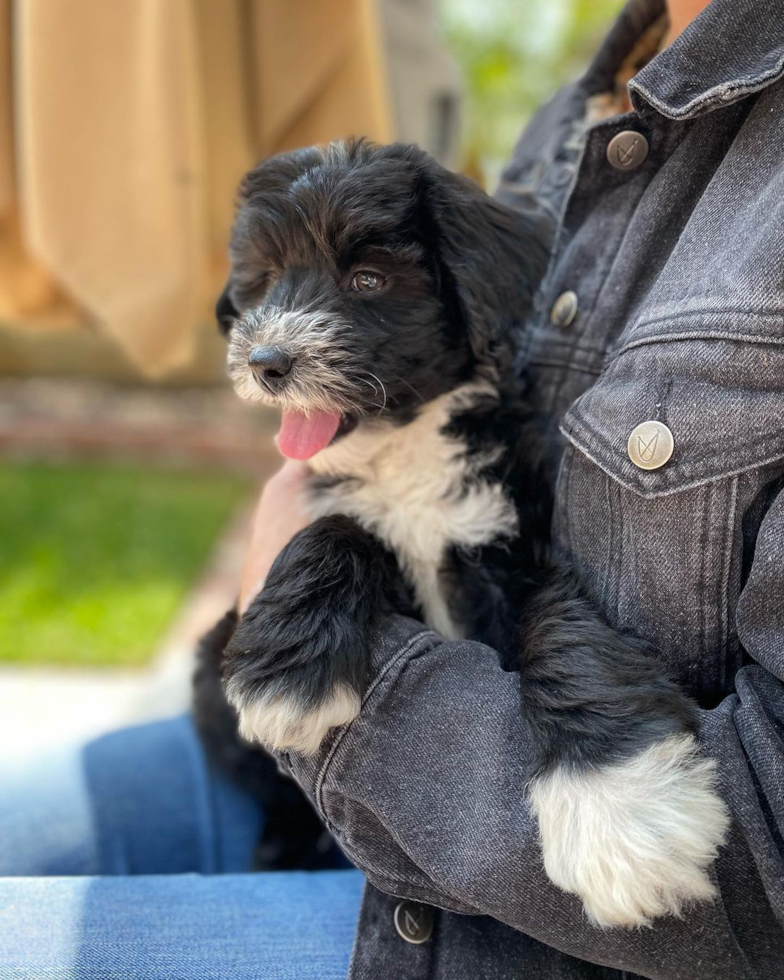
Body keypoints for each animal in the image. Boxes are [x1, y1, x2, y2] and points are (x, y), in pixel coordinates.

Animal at [214, 138, 728, 928]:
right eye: (265, 280)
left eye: (368, 279)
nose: (267, 362)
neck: (407, 445)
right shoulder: (334, 501)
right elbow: (340, 527)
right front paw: (286, 670)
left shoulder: (521, 534)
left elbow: (564, 623)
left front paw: (620, 809)